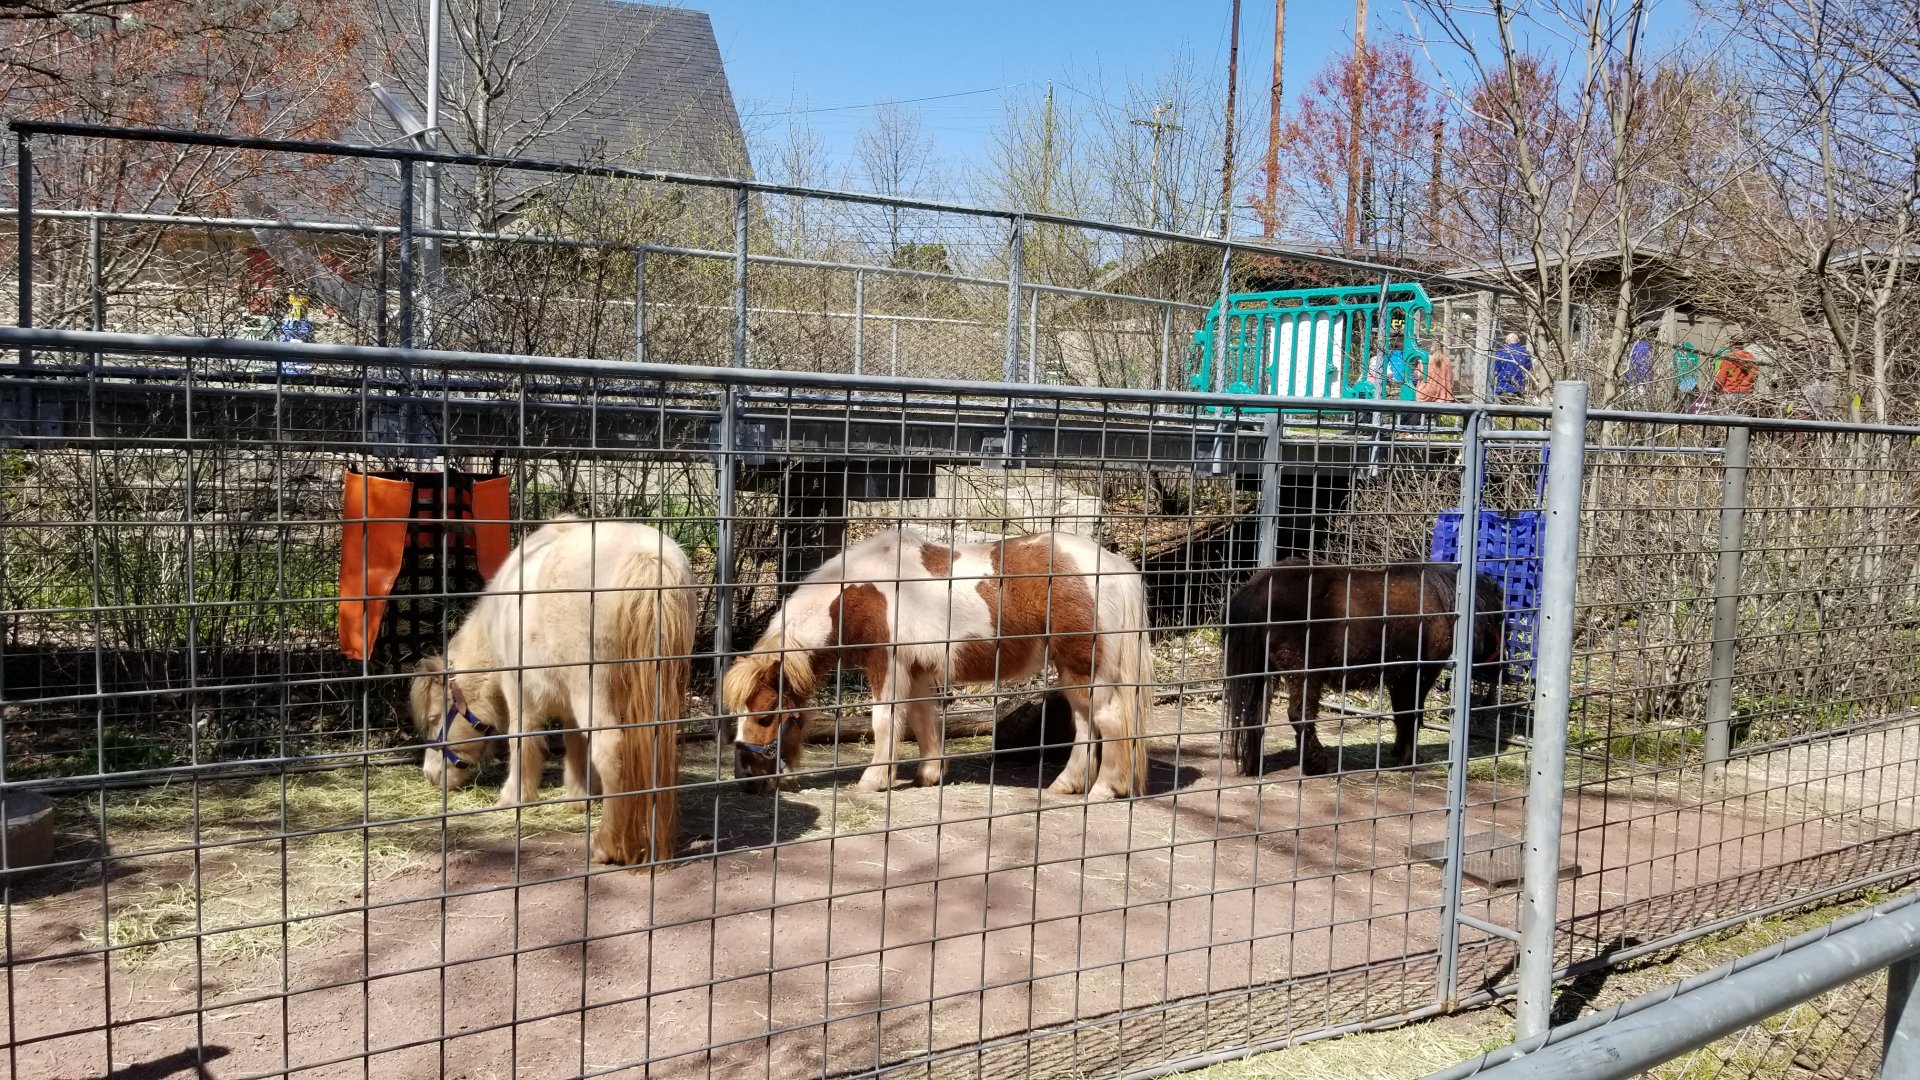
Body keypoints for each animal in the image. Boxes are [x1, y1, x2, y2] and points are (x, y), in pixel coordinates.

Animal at [408, 517, 698, 866]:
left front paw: (513, 796)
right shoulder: (570, 703)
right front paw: (578, 796)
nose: (431, 774)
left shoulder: (519, 690)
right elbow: (575, 744)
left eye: (435, 717)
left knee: (610, 747)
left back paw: (607, 846)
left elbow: (522, 739)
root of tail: (646, 558)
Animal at [721, 528, 1153, 800]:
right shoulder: (916, 670)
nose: (745, 779)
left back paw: (1104, 789)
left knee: (1109, 719)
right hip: (1072, 670)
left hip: (1086, 668)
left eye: (764, 717)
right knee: (1084, 723)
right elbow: (921, 718)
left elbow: (885, 721)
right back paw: (1067, 784)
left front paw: (875, 779)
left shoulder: (888, 663)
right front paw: (929, 774)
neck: (860, 591)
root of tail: (1114, 566)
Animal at [1222, 558, 1506, 776]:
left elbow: (1402, 716)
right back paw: (1317, 764)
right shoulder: (1419, 675)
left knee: (1254, 712)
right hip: (1304, 674)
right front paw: (1408, 759)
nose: (1499, 666)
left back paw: (1255, 764)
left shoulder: (1400, 679)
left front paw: (1399, 754)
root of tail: (1259, 587)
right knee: (1299, 715)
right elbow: (1412, 716)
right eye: (1500, 618)